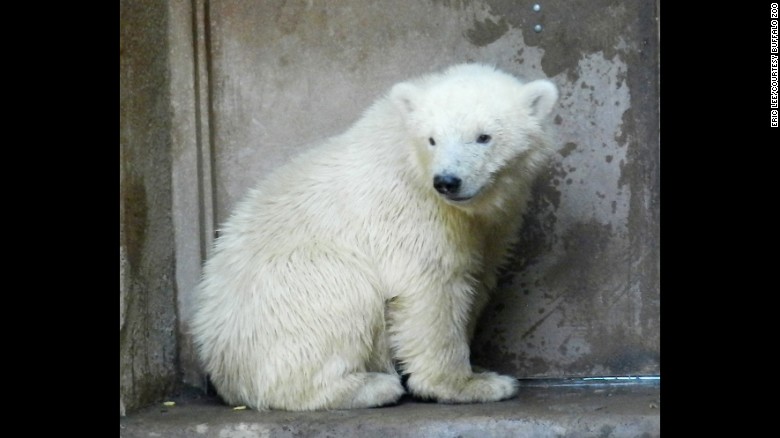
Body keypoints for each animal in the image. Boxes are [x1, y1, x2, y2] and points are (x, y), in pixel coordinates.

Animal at [190, 62, 556, 410]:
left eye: (483, 137)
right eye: (432, 139)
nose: (447, 181)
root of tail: (223, 365)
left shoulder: (490, 225)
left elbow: (478, 277)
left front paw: (476, 368)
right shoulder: (413, 211)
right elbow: (432, 291)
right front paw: (472, 384)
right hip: (289, 291)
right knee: (344, 293)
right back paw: (372, 386)